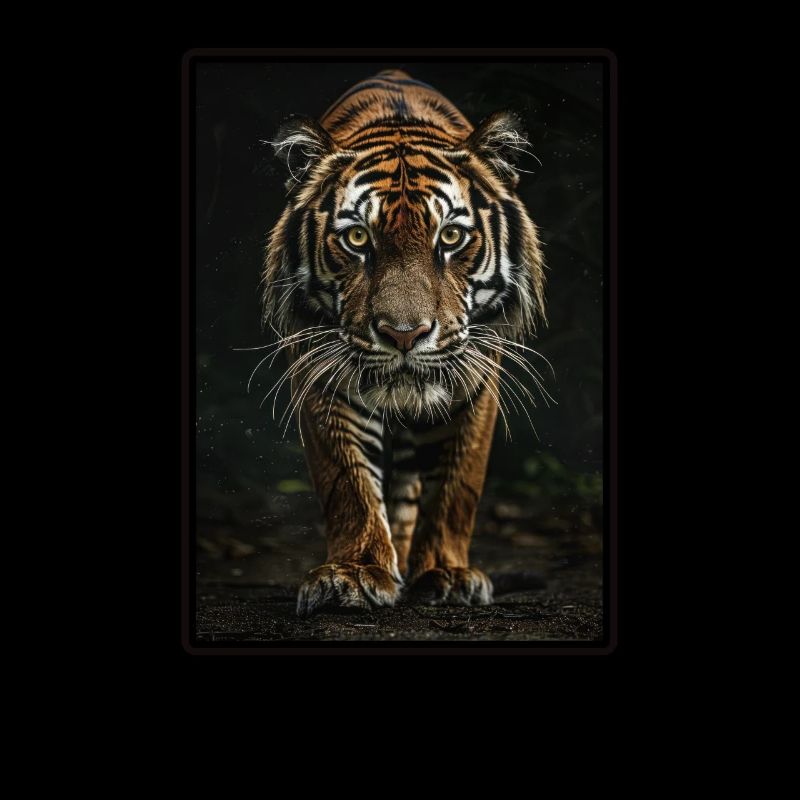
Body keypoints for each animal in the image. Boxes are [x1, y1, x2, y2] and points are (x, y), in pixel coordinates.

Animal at [261, 69, 547, 617]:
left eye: (451, 237)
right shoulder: (322, 368)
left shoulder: (477, 373)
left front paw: (447, 574)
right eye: (356, 239)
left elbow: (456, 485)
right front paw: (353, 574)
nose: (404, 333)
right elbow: (347, 479)